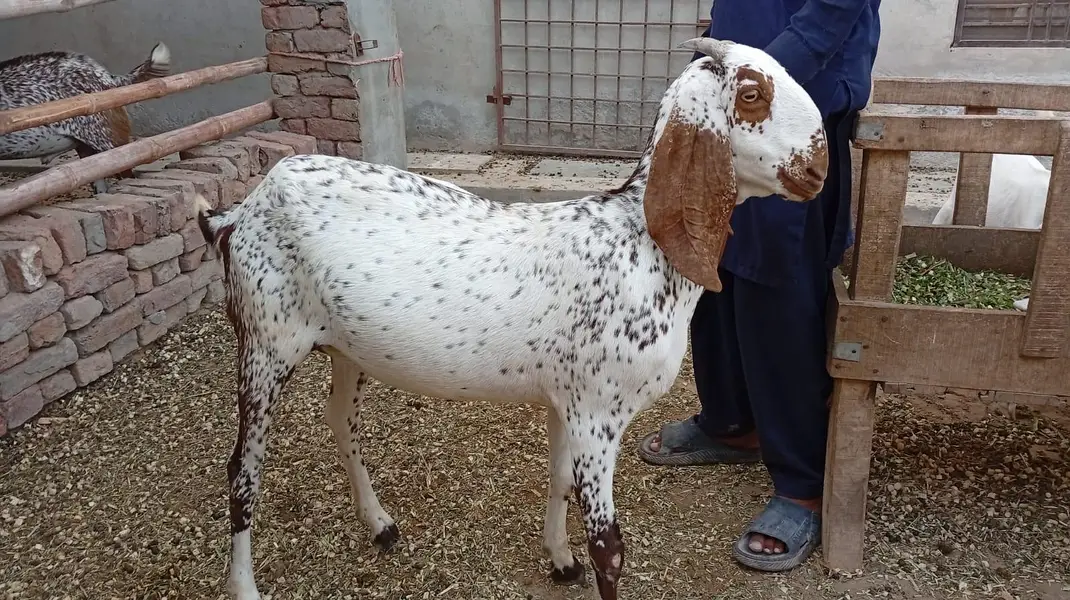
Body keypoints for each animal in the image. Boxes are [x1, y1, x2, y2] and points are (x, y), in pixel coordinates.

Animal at [197, 37, 828, 600]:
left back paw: (379, 524)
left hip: (345, 347)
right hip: (265, 343)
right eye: (752, 93)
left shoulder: (568, 401)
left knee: (339, 421)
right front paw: (580, 558)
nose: (820, 165)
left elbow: (558, 481)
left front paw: (559, 559)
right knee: (241, 471)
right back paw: (244, 586)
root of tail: (238, 213)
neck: (637, 242)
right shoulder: (599, 411)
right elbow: (610, 547)